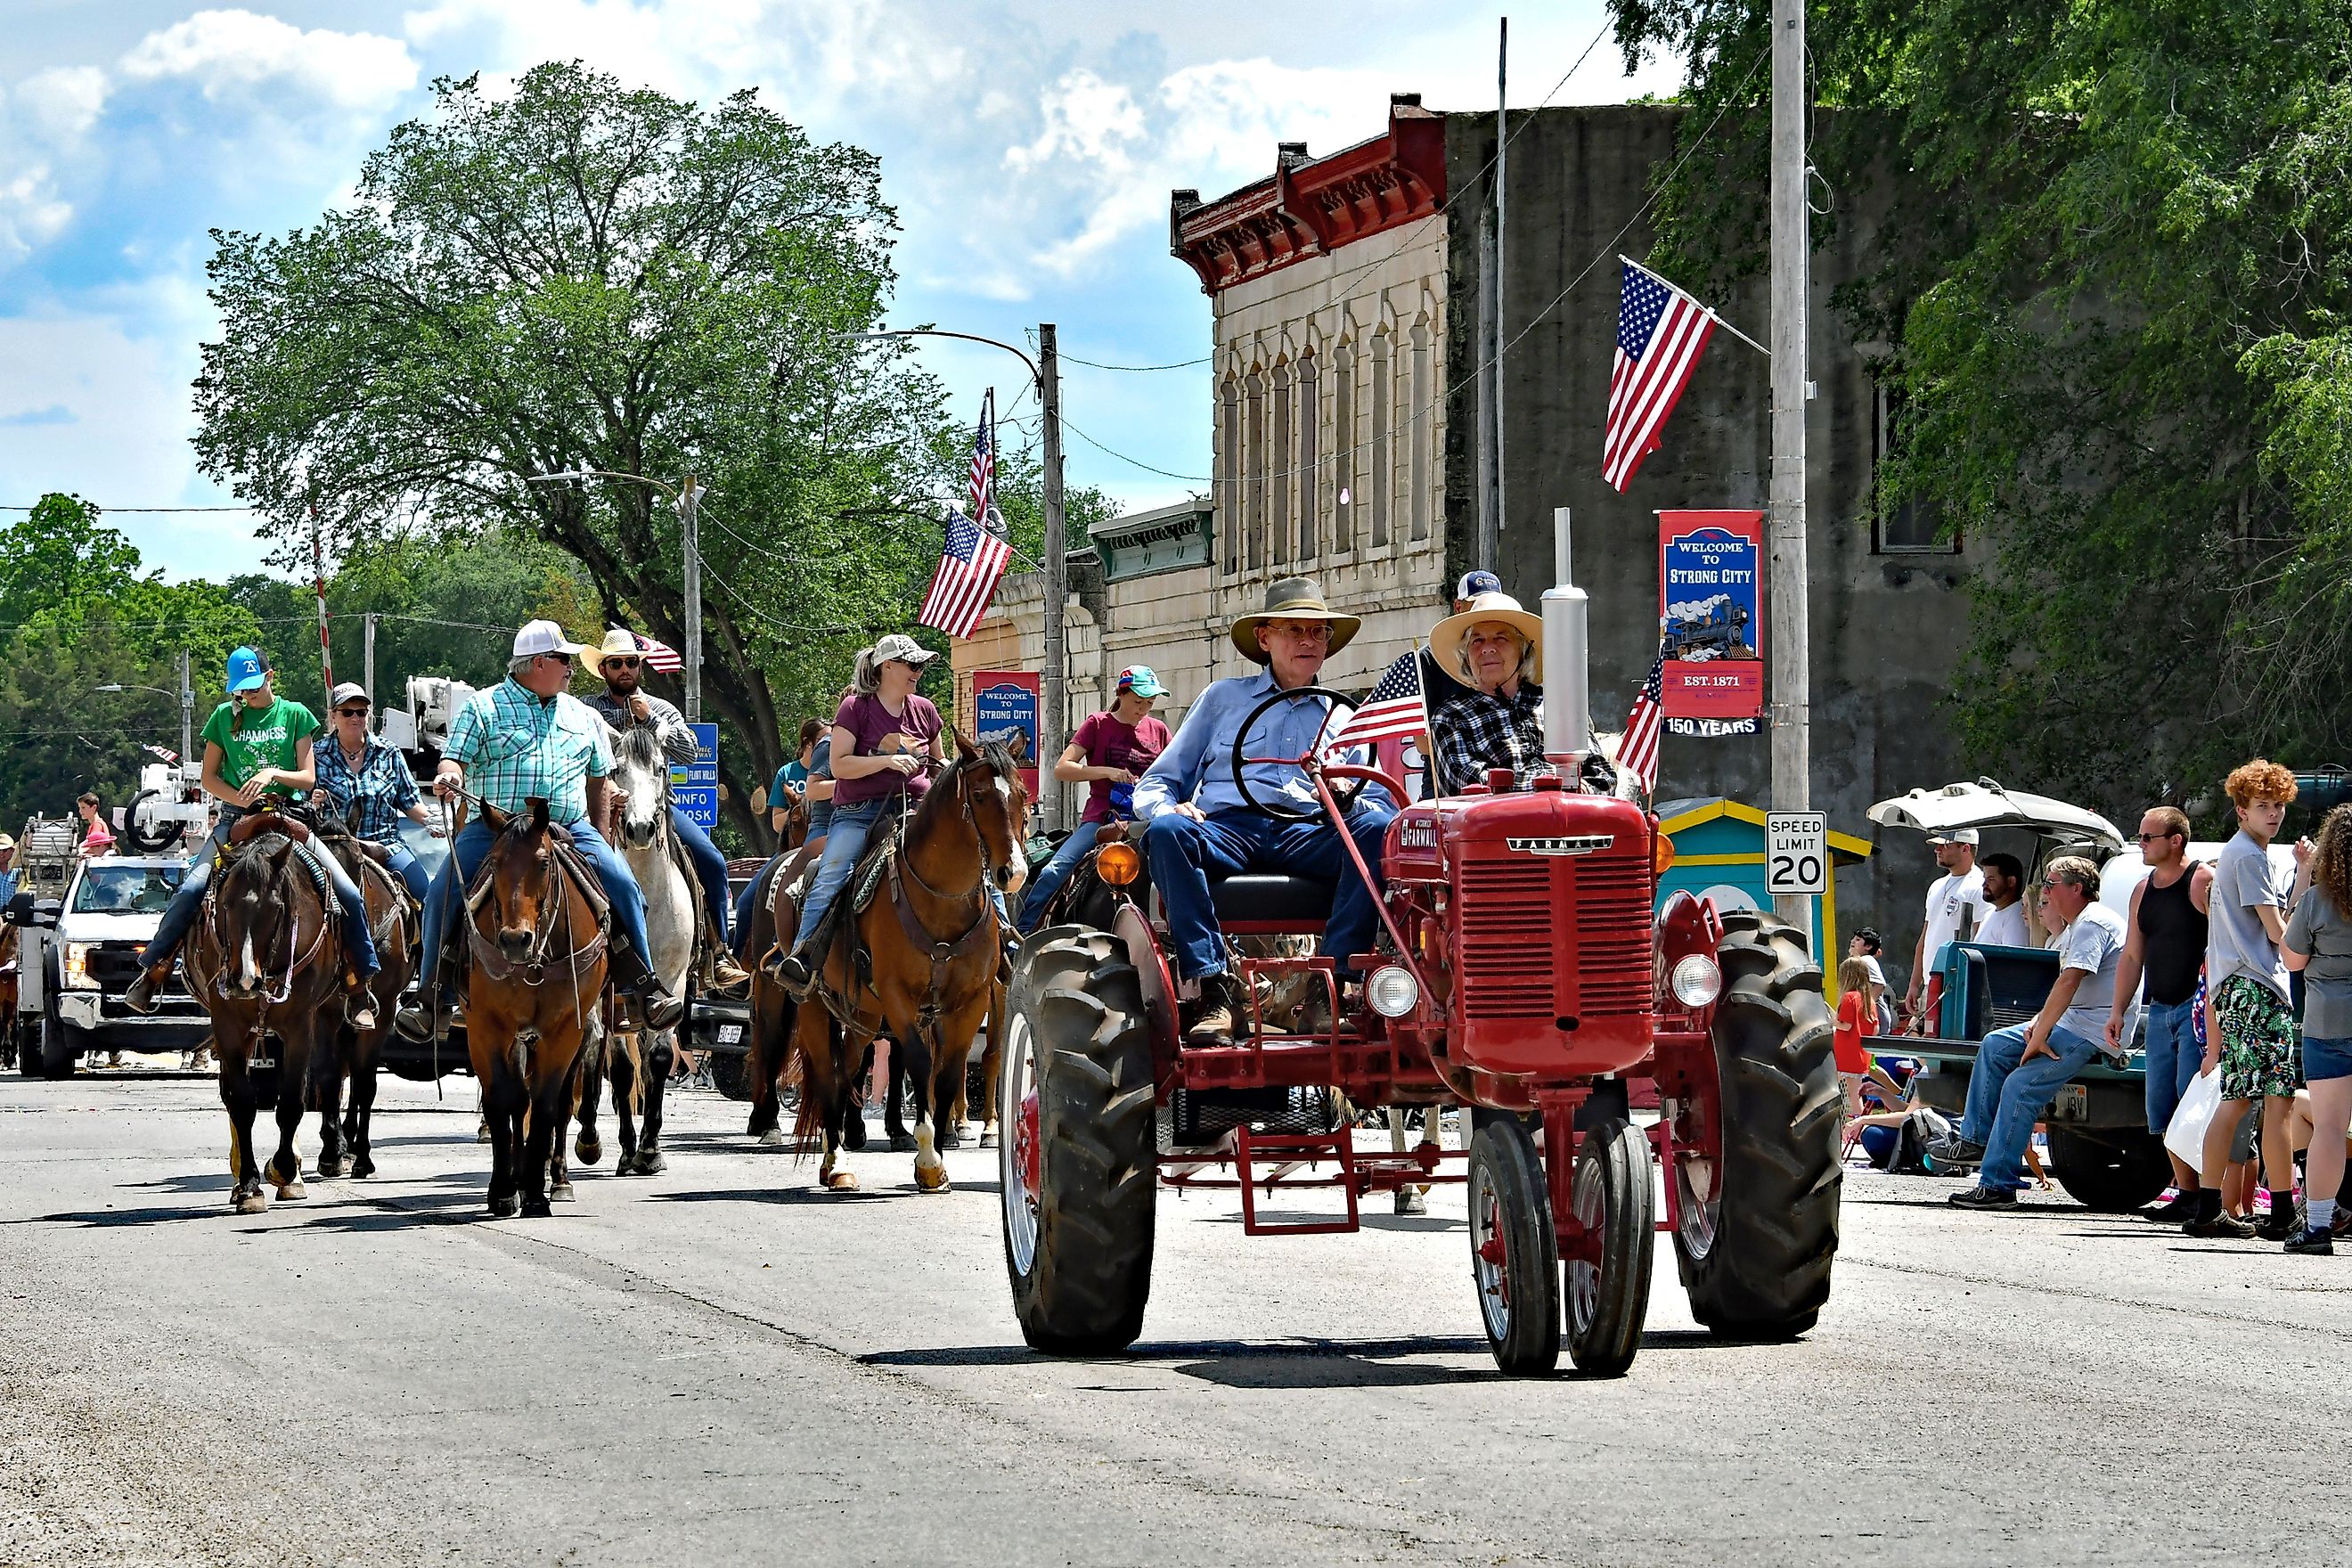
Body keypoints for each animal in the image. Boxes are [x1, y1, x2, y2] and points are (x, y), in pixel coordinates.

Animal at [181, 818, 347, 1222]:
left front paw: (284, 1170)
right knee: (231, 1095)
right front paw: (250, 1187)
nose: (244, 980)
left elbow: (292, 1101)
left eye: (276, 906)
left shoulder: (300, 1024)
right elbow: (242, 1102)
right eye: (226, 903)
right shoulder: (227, 1024)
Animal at [465, 804, 611, 1222]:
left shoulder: (565, 1031)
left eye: (544, 863)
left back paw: (557, 1178)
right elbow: (505, 1100)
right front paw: (503, 1190)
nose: (515, 940)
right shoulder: (487, 1027)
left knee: (555, 1104)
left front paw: (534, 1192)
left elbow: (548, 1105)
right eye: (495, 862)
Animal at [785, 733, 1025, 1189]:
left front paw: (940, 1160)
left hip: (863, 1011)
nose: (1014, 872)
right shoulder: (899, 998)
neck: (942, 899)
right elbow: (919, 1062)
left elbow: (947, 1073)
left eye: (1022, 795)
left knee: (847, 1068)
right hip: (813, 1005)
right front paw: (928, 1156)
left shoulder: (969, 1003)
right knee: (825, 1071)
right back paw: (837, 1162)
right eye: (980, 795)